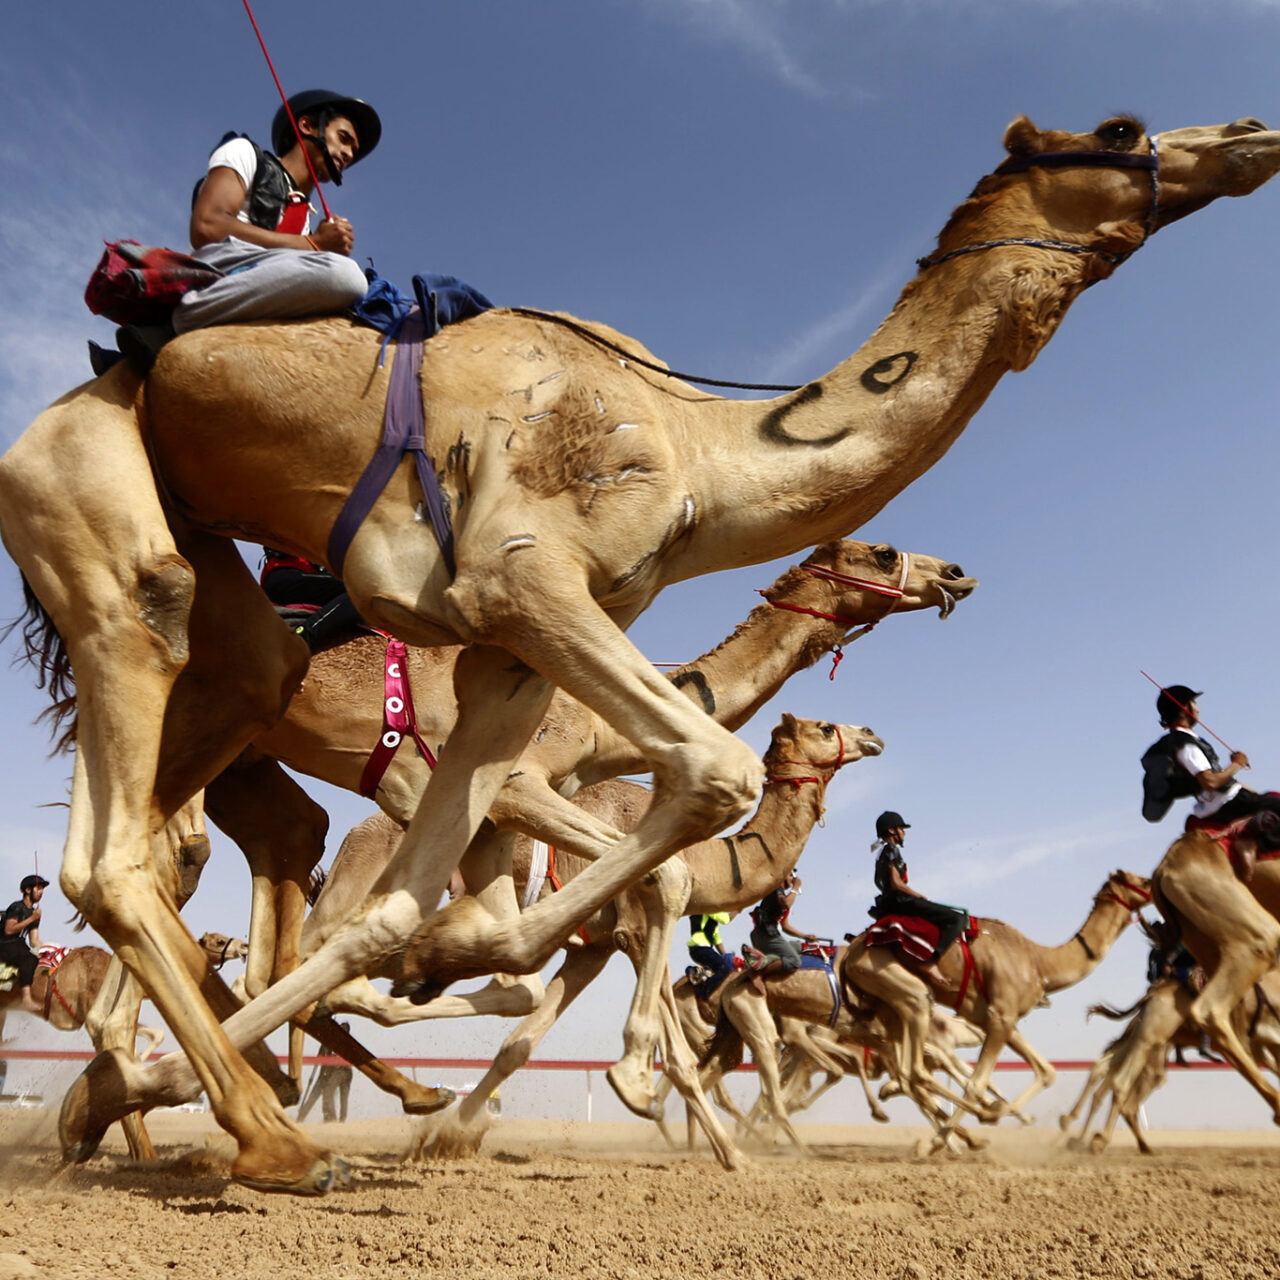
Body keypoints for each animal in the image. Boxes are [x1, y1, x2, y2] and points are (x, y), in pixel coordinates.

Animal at [840, 868, 1152, 1153]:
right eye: (1141, 881)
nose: (1153, 884)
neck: (1040, 964)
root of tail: (850, 954)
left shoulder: (1001, 1020)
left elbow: (1046, 1071)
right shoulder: (1001, 1017)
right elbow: (976, 1082)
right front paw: (950, 1135)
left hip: (890, 1006)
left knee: (907, 1071)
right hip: (900, 985)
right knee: (916, 1066)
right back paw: (973, 1121)